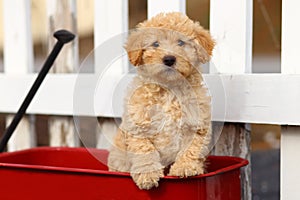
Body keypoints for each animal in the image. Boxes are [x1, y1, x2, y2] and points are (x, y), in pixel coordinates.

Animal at [107, 11, 213, 190]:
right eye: (155, 44)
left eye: (180, 42)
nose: (169, 59)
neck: (169, 90)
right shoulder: (139, 127)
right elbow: (144, 151)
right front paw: (148, 175)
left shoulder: (196, 125)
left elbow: (190, 149)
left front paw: (184, 167)